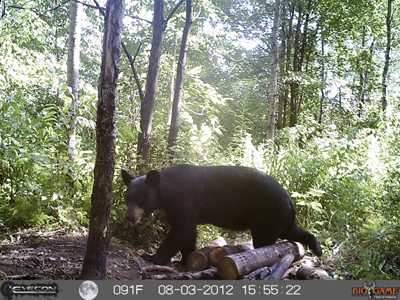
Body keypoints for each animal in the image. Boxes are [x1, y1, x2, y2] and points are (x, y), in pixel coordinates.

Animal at [122, 164, 322, 264]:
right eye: (127, 198)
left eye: (141, 199)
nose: (129, 217)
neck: (167, 191)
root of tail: (288, 199)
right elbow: (188, 233)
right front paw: (185, 259)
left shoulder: (185, 199)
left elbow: (180, 230)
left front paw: (153, 257)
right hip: (280, 216)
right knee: (291, 230)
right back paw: (316, 248)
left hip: (267, 212)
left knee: (264, 241)